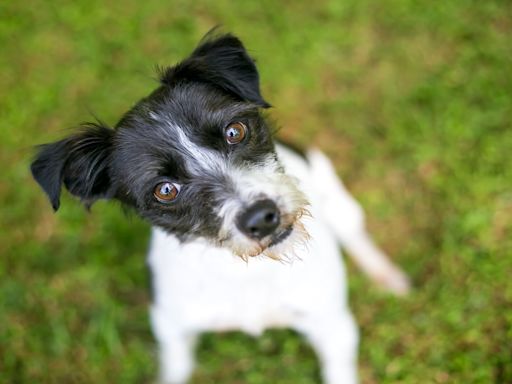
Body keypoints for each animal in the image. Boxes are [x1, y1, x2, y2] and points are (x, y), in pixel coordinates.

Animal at [31, 31, 408, 382]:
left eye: (235, 131)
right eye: (165, 190)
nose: (262, 219)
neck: (245, 270)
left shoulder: (333, 325)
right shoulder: (172, 333)